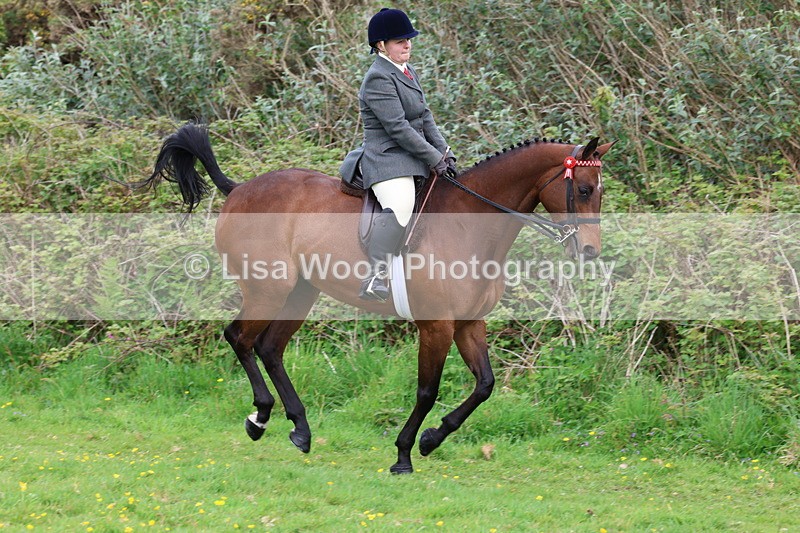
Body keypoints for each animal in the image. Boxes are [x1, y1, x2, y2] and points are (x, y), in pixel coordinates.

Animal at [146, 123, 613, 473]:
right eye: (583, 190)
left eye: (599, 191)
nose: (591, 251)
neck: (470, 225)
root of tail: (241, 188)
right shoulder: (437, 325)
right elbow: (426, 390)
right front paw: (405, 452)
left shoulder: (468, 323)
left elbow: (484, 385)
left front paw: (432, 438)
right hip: (268, 289)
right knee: (240, 338)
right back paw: (259, 418)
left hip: (301, 292)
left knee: (269, 348)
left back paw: (300, 429)